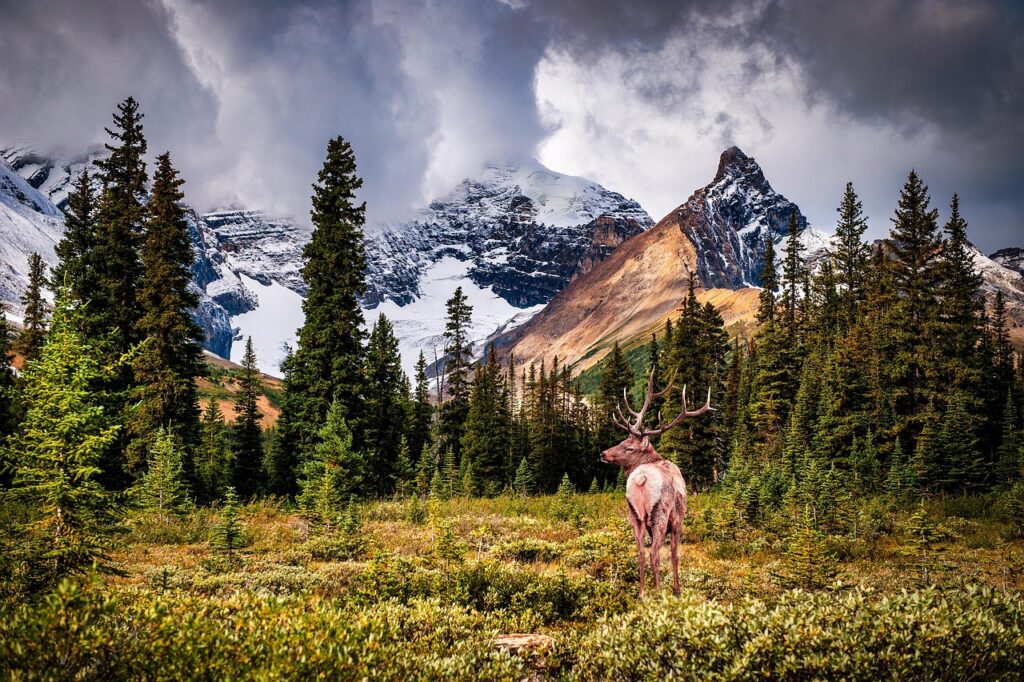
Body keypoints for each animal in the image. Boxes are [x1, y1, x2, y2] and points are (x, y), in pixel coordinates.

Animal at [600, 366, 711, 597]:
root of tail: (641, 478)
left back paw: (642, 593)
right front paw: (677, 589)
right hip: (660, 512)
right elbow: (675, 554)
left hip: (633, 514)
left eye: (628, 446)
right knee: (654, 554)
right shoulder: (678, 520)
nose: (603, 453)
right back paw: (659, 593)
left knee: (640, 552)